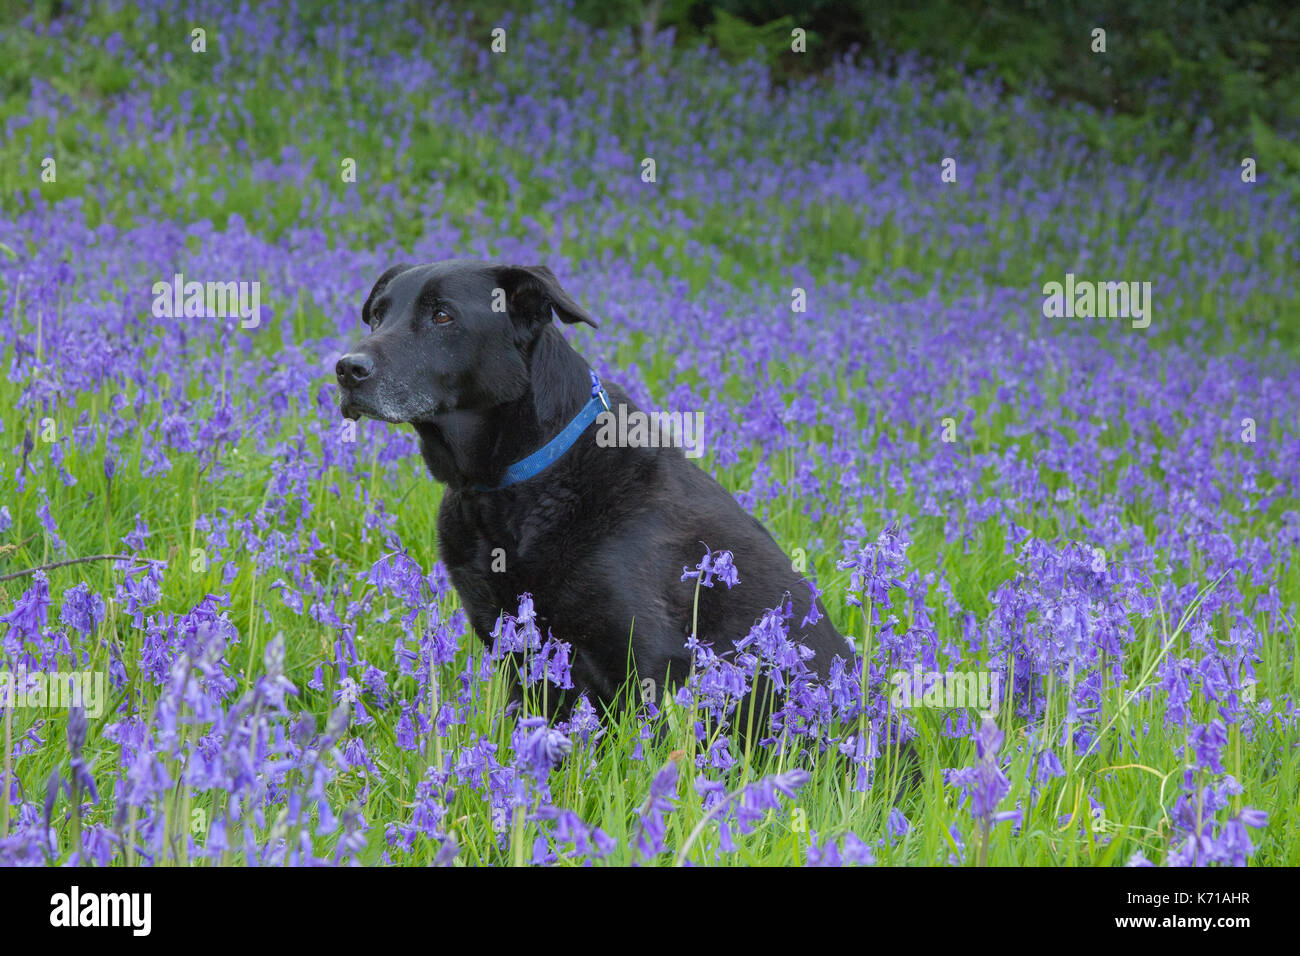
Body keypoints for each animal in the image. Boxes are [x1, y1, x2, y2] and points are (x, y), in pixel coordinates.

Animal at [332, 260, 852, 717]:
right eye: (377, 314)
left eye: (442, 315)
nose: (346, 368)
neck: (514, 484)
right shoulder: (515, 648)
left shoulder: (647, 657)